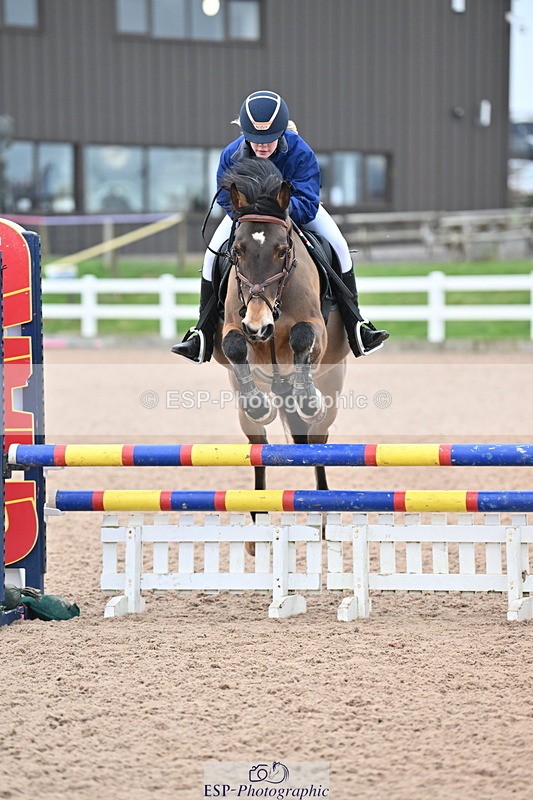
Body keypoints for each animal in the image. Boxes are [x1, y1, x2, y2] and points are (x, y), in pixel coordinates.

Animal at [213, 158, 350, 499]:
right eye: (237, 251)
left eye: (282, 250)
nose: (259, 326)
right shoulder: (236, 325)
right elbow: (235, 345)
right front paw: (259, 406)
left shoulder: (317, 330)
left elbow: (302, 336)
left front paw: (309, 402)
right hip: (246, 411)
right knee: (257, 447)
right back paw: (258, 506)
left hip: (331, 387)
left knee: (316, 441)